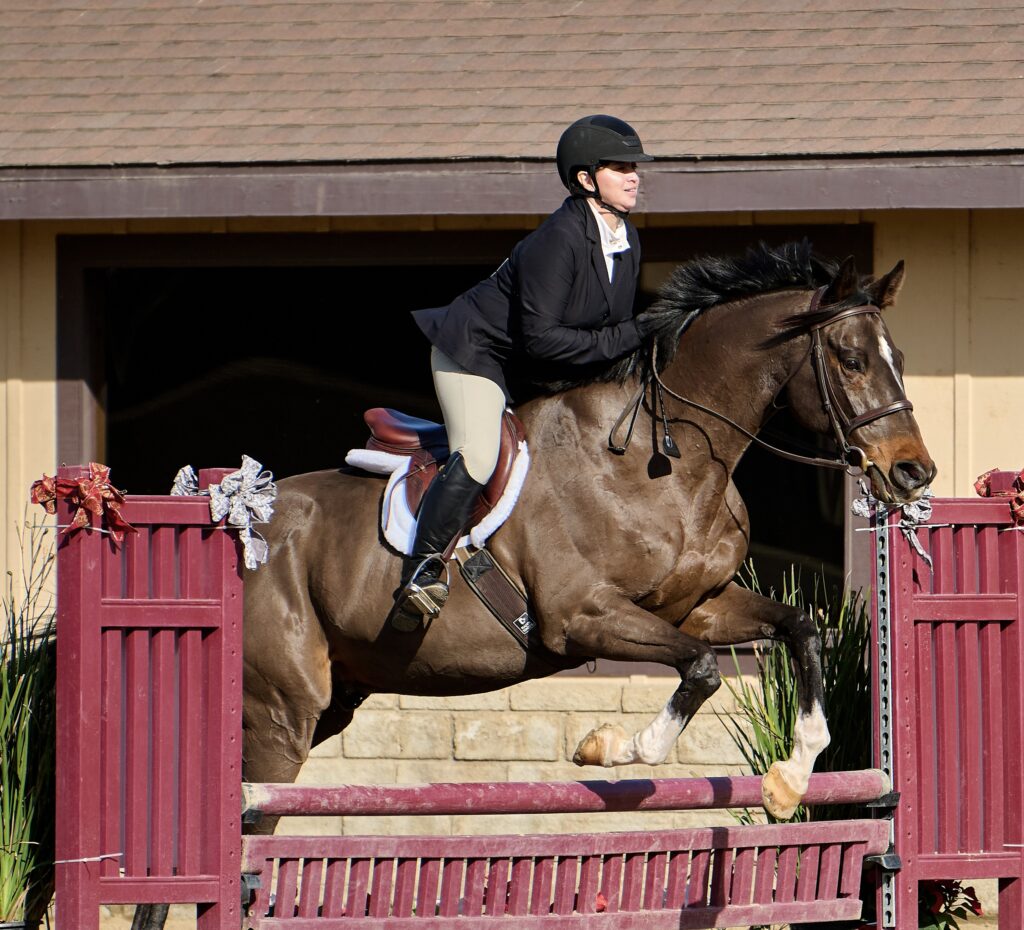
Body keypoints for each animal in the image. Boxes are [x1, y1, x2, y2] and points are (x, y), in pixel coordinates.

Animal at [240, 240, 935, 828]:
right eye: (851, 360)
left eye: (900, 359)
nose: (914, 472)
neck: (667, 462)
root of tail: (246, 519)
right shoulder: (580, 616)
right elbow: (701, 671)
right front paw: (605, 746)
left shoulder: (696, 607)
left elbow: (801, 629)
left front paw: (788, 779)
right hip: (280, 713)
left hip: (333, 700)